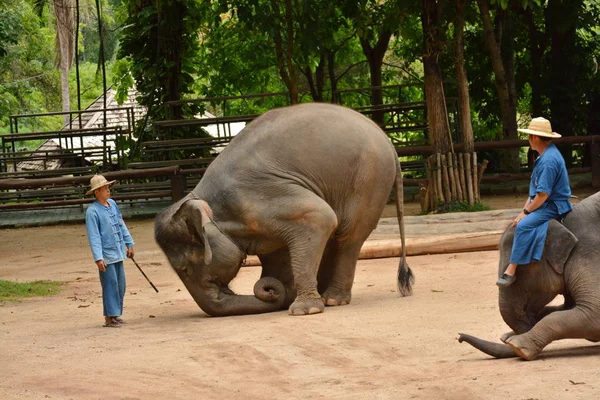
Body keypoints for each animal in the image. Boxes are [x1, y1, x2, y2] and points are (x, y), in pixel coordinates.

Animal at [155, 104, 412, 318]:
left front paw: (303, 310)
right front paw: (284, 292)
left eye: (185, 270)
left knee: (348, 236)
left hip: (369, 179)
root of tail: (387, 139)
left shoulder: (259, 196)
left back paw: (332, 300)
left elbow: (320, 217)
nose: (270, 291)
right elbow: (276, 253)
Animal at [460, 191, 600, 360]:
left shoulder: (589, 251)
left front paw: (517, 346)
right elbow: (561, 309)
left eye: (521, 266)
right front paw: (507, 337)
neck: (561, 222)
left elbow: (593, 312)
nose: (459, 337)